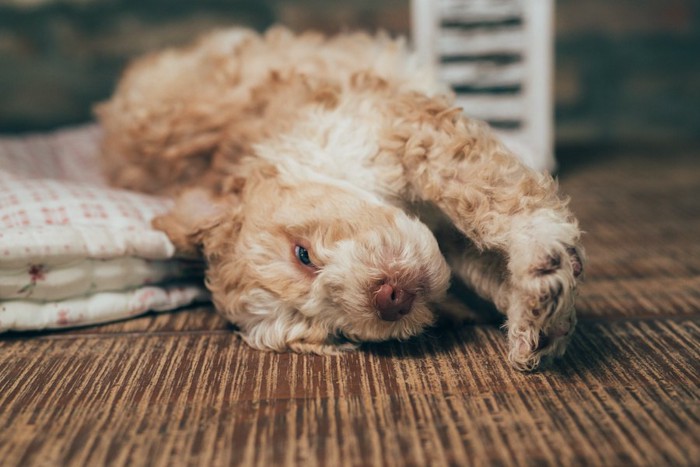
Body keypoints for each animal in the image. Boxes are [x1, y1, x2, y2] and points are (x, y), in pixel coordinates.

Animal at [95, 27, 584, 372]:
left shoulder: (405, 130)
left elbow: (492, 200)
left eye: (302, 255)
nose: (391, 300)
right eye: (336, 334)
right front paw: (536, 320)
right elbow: (483, 267)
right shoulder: (442, 236)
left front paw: (536, 254)